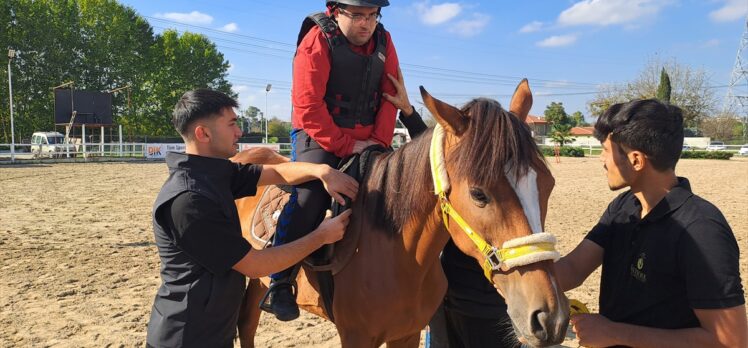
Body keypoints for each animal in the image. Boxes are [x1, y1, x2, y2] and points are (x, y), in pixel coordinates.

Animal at [234, 80, 568, 346]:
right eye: (478, 194)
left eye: (548, 184)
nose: (550, 317)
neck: (397, 252)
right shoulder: (355, 337)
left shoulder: (406, 333)